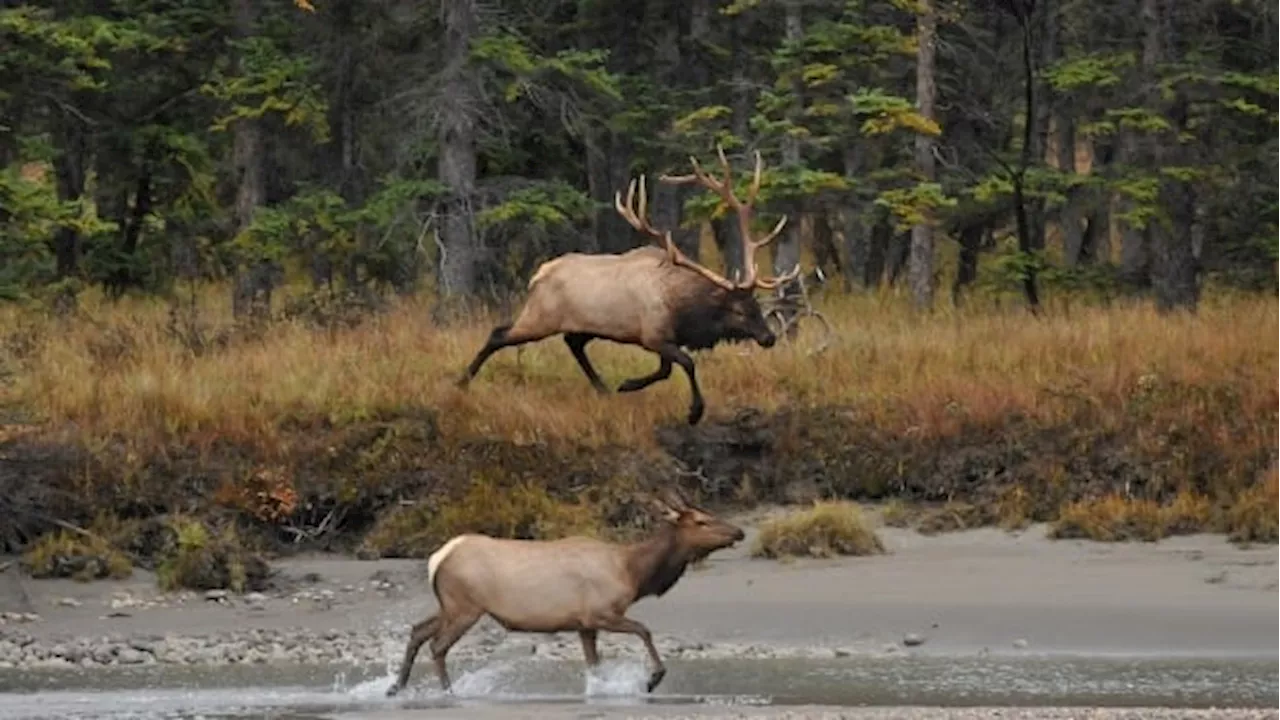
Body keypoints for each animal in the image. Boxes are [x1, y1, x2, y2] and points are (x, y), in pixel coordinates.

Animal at [381, 484, 742, 691]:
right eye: (701, 521)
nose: (739, 531)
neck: (633, 573)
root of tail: (438, 558)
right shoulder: (600, 613)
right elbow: (644, 629)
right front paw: (653, 679)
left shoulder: (584, 625)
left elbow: (594, 664)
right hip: (465, 607)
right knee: (437, 646)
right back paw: (447, 691)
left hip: (450, 606)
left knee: (417, 630)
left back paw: (396, 687)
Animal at [455, 146, 798, 425]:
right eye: (739, 310)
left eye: (757, 306)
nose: (769, 338)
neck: (684, 308)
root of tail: (537, 275)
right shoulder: (653, 335)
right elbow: (685, 364)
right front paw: (693, 411)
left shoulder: (663, 338)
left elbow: (666, 369)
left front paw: (626, 385)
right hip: (540, 317)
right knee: (500, 334)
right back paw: (463, 381)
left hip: (582, 325)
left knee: (572, 343)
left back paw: (603, 387)